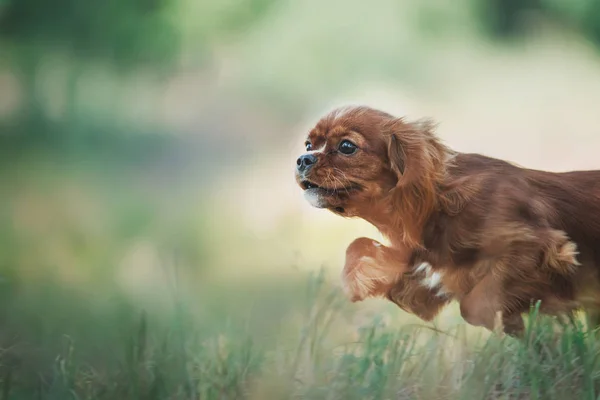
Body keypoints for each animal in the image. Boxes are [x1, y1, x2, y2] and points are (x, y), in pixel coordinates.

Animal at [296, 105, 600, 334]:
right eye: (309, 144)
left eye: (347, 146)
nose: (302, 159)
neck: (442, 202)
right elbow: (358, 245)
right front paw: (359, 278)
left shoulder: (540, 246)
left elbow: (474, 307)